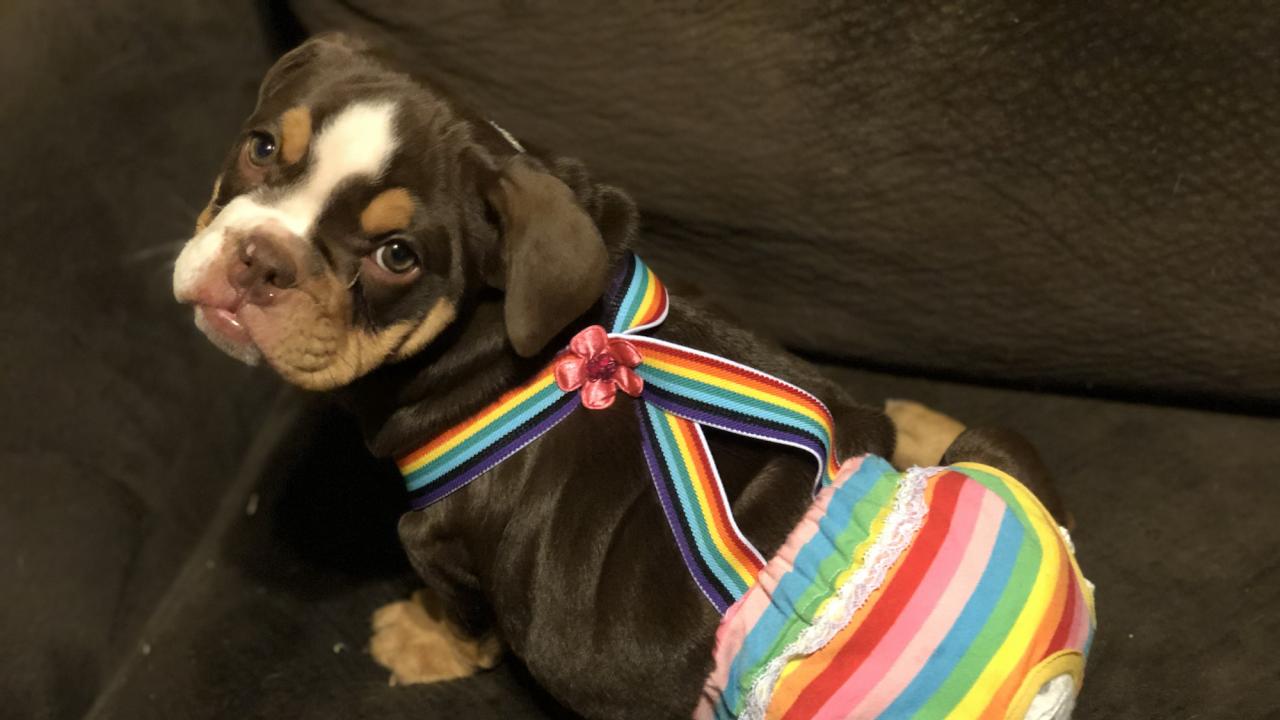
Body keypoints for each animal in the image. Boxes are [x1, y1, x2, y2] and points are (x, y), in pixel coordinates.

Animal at [175, 35, 1064, 717]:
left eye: (398, 256)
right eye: (261, 147)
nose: (260, 260)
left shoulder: (436, 540)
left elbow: (461, 616)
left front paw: (417, 639)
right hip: (990, 442)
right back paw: (920, 425)